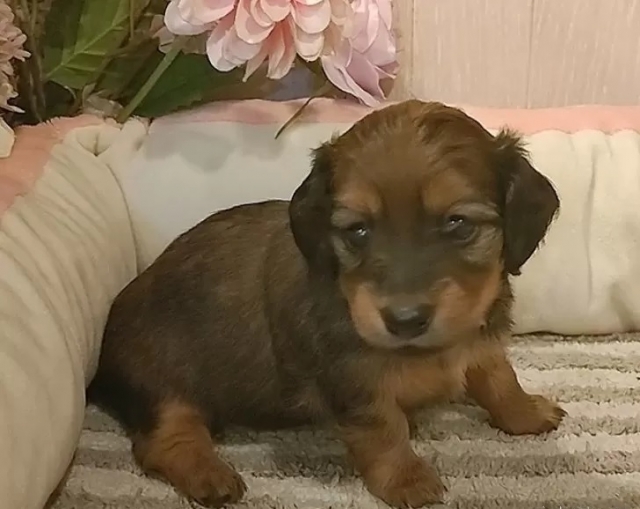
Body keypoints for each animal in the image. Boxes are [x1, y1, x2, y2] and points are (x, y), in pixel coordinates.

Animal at [88, 100, 565, 508]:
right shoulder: (353, 381)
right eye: (357, 230)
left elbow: (499, 379)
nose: (404, 320)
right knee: (162, 439)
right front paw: (406, 479)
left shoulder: (480, 343)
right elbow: (383, 429)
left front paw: (526, 411)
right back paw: (209, 474)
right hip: (161, 382)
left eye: (458, 224)